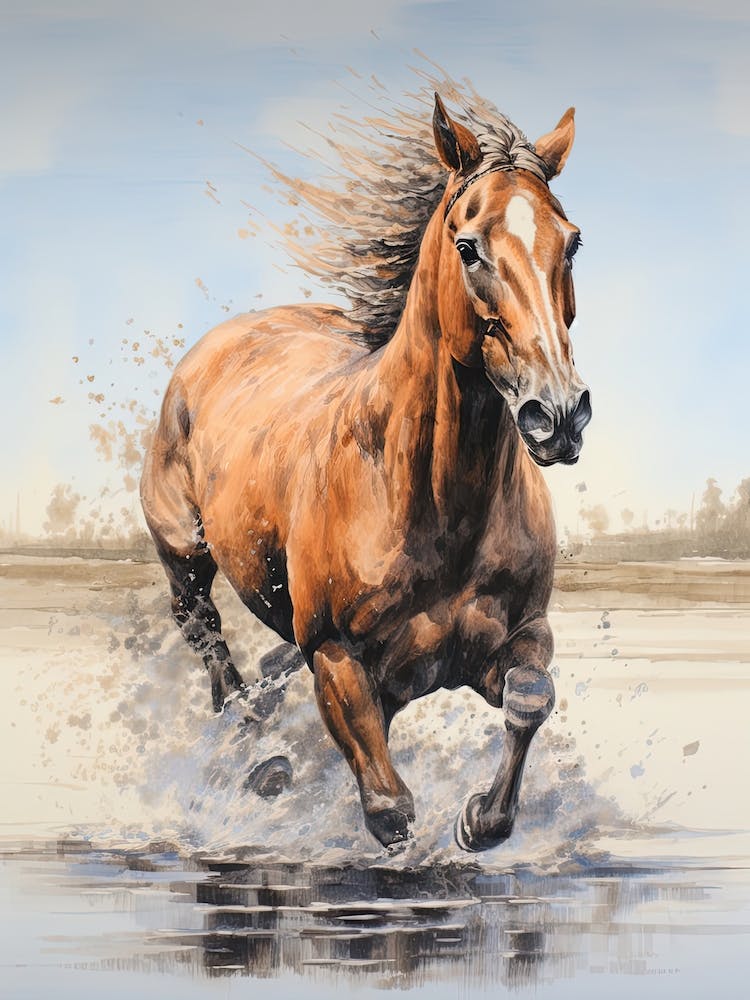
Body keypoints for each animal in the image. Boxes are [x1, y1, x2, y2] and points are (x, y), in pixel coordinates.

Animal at [140, 91, 591, 851]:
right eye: (468, 247)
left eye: (573, 241)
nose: (557, 413)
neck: (431, 503)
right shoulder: (338, 657)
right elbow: (389, 810)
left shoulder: (511, 639)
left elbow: (530, 699)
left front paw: (478, 819)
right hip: (185, 552)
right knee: (208, 641)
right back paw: (259, 754)